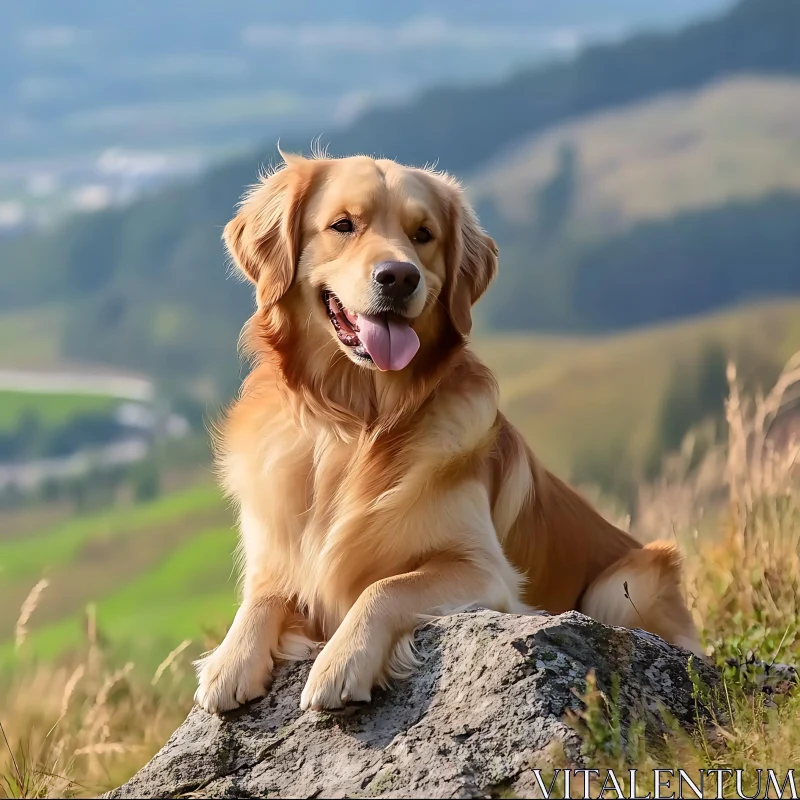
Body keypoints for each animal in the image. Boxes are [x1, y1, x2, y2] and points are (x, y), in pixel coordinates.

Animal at [195, 153, 700, 716]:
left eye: (423, 234)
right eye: (343, 225)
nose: (399, 277)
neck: (354, 424)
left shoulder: (485, 571)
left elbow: (386, 586)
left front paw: (342, 660)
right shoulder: (275, 552)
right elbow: (261, 598)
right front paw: (230, 660)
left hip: (626, 581)